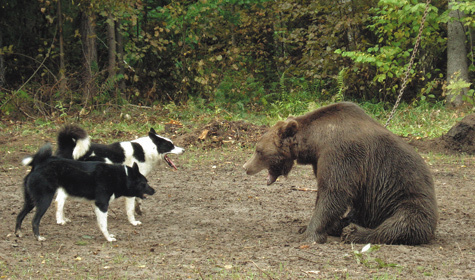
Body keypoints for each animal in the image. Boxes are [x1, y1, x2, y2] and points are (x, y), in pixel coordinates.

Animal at [14, 143, 155, 242]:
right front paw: (109, 238)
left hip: (31, 201)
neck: (121, 176)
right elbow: (104, 224)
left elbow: (101, 224)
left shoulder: (97, 205)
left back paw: (18, 233)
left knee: (19, 216)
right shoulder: (102, 205)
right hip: (44, 201)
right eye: (144, 183)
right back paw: (38, 237)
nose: (154, 191)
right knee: (35, 220)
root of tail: (38, 165)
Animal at [53, 126, 184, 226]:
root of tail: (68, 147)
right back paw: (60, 220)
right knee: (59, 200)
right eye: (170, 145)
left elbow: (138, 200)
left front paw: (139, 209)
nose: (183, 150)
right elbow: (130, 209)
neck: (145, 151)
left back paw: (64, 218)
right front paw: (133, 222)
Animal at [245, 101, 438, 244]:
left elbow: (333, 192)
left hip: (406, 199)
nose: (245, 167)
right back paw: (340, 226)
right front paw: (305, 227)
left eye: (258, 150)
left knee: (401, 223)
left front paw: (308, 234)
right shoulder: (320, 160)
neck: (316, 142)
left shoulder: (342, 154)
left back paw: (354, 233)